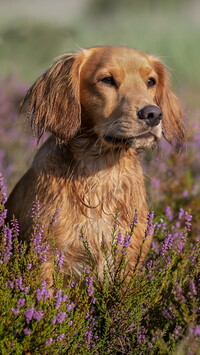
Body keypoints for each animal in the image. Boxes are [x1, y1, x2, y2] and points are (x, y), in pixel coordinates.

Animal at [5, 46, 185, 284]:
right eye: (107, 80)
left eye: (151, 81)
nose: (153, 114)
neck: (101, 175)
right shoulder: (45, 254)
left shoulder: (130, 257)